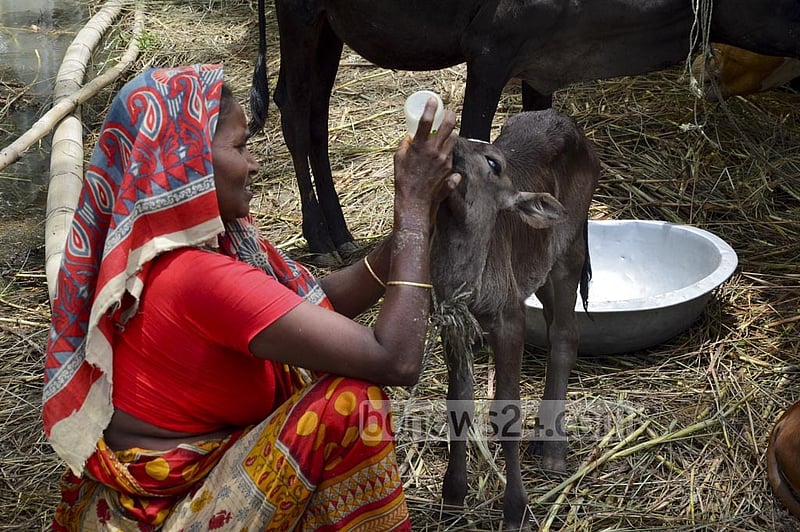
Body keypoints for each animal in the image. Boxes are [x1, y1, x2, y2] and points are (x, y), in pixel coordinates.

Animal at [249, 0, 800, 264]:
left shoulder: (541, 72)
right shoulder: (491, 49)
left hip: (333, 25)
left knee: (316, 115)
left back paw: (341, 233)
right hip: (300, 13)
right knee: (294, 109)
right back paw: (320, 235)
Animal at [429, 108, 599, 530]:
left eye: (494, 163)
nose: (451, 142)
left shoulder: (509, 320)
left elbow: (506, 414)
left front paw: (516, 510)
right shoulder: (453, 325)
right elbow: (458, 404)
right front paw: (452, 497)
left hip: (568, 250)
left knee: (565, 335)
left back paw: (554, 451)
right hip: (537, 270)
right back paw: (542, 435)